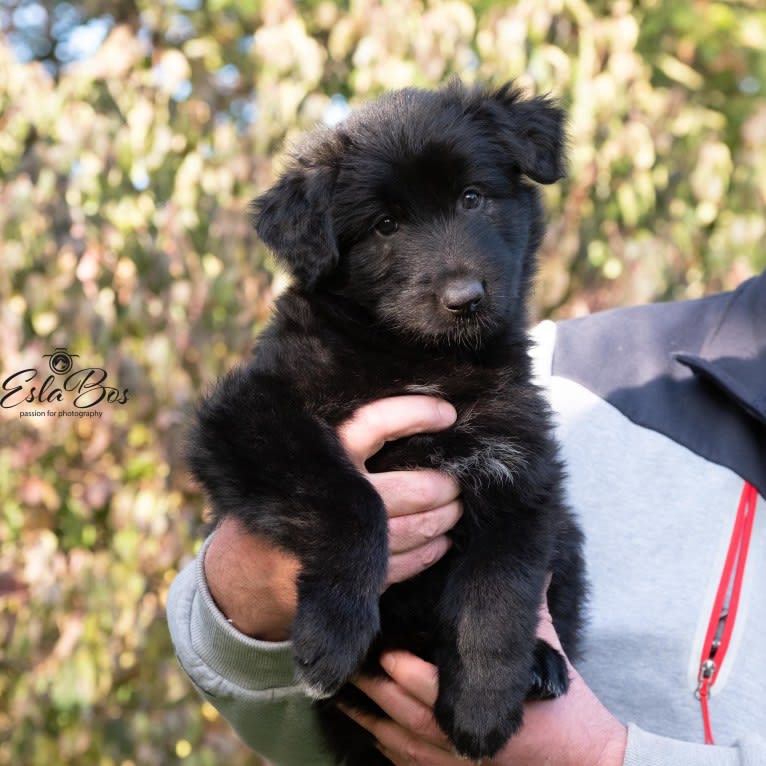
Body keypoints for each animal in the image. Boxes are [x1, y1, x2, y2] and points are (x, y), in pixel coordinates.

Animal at [190, 81, 588, 764]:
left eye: (472, 197)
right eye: (385, 225)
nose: (465, 298)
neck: (420, 360)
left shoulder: (521, 472)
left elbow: (498, 591)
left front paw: (483, 704)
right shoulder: (251, 414)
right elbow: (351, 500)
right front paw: (333, 634)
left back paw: (539, 664)